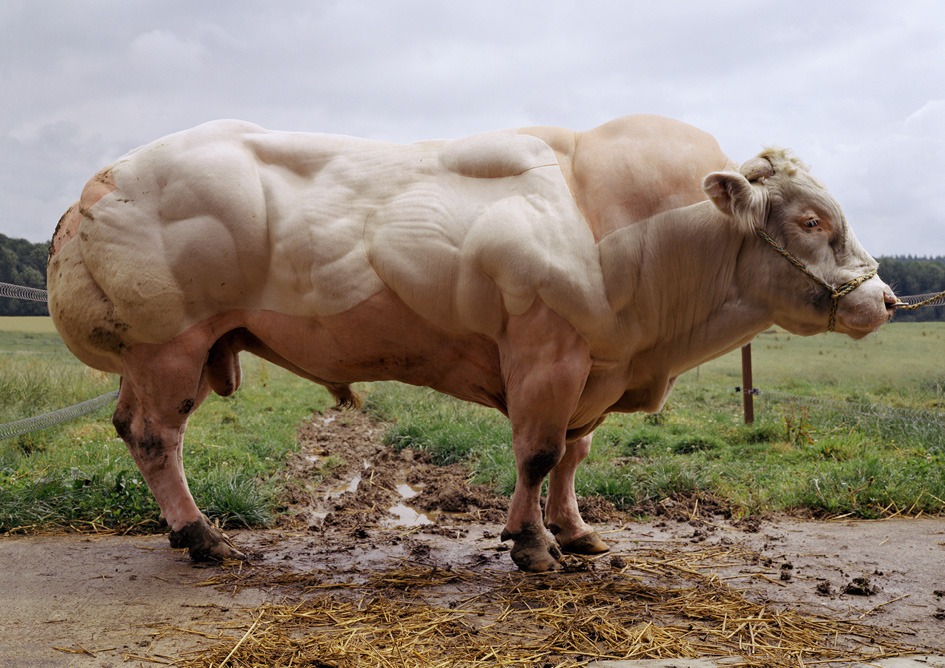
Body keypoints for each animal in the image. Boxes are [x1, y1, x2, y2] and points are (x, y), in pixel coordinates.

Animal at [47, 115, 897, 572]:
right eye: (811, 220)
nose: (884, 300)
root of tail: (105, 177)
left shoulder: (592, 367)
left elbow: (573, 457)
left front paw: (573, 532)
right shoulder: (547, 355)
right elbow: (537, 453)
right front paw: (529, 544)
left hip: (167, 354)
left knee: (130, 428)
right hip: (169, 344)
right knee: (156, 439)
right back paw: (202, 537)